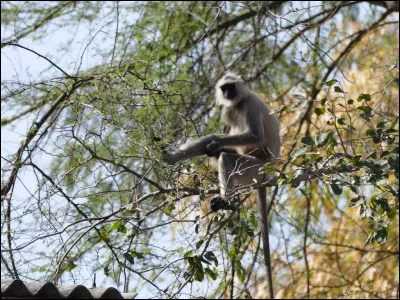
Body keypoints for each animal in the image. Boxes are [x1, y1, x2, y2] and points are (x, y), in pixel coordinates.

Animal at [164, 71, 280, 298]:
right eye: (224, 89)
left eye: (231, 87)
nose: (228, 94)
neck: (239, 103)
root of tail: (270, 173)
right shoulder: (230, 109)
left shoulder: (251, 103)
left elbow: (254, 135)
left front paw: (216, 143)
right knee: (216, 147)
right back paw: (171, 158)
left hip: (256, 168)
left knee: (226, 156)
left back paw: (227, 204)